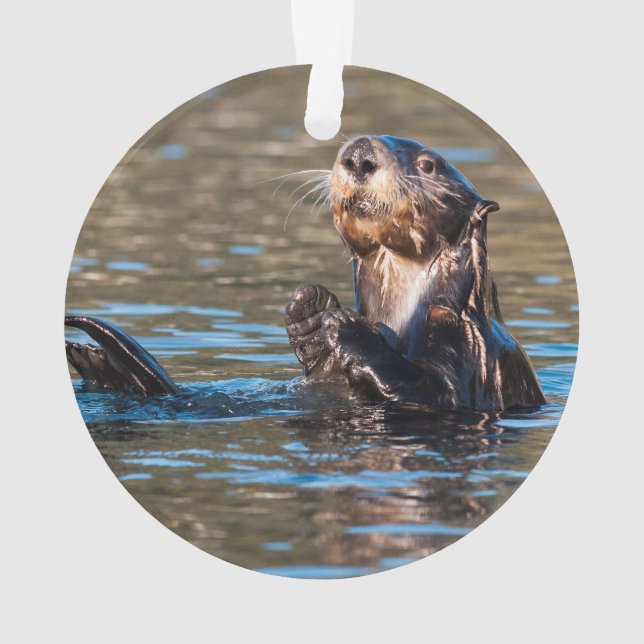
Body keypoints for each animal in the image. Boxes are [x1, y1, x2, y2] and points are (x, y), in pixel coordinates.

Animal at [65, 134, 545, 411]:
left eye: (429, 165)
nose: (358, 155)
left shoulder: (470, 347)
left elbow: (436, 392)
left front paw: (345, 327)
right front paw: (310, 310)